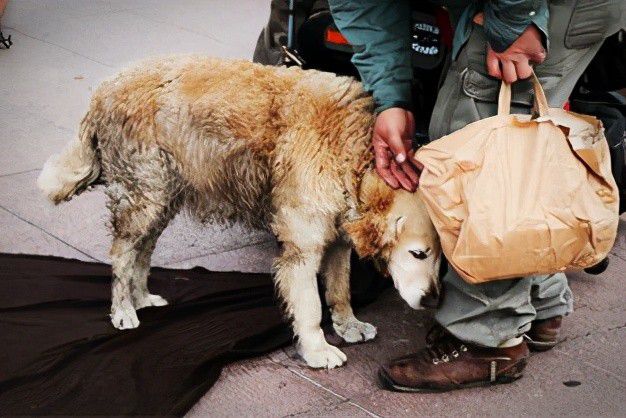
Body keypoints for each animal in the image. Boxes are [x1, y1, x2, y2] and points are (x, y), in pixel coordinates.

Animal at [39, 56, 438, 370]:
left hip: (162, 198)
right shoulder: (303, 246)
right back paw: (123, 309)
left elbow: (340, 287)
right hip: (142, 195)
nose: (433, 301)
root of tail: (106, 86)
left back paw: (141, 298)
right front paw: (317, 348)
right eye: (418, 253)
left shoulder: (337, 235)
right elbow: (310, 305)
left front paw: (348, 324)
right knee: (122, 255)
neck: (351, 150)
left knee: (143, 251)